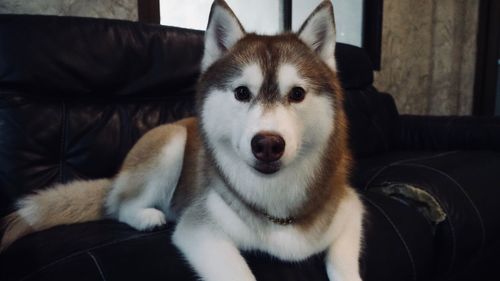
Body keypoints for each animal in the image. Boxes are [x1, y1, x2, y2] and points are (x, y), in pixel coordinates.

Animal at [2, 1, 364, 278]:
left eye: (297, 94)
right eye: (242, 93)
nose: (268, 145)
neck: (275, 201)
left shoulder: (351, 208)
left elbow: (346, 265)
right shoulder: (200, 229)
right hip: (172, 139)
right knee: (119, 206)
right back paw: (146, 216)